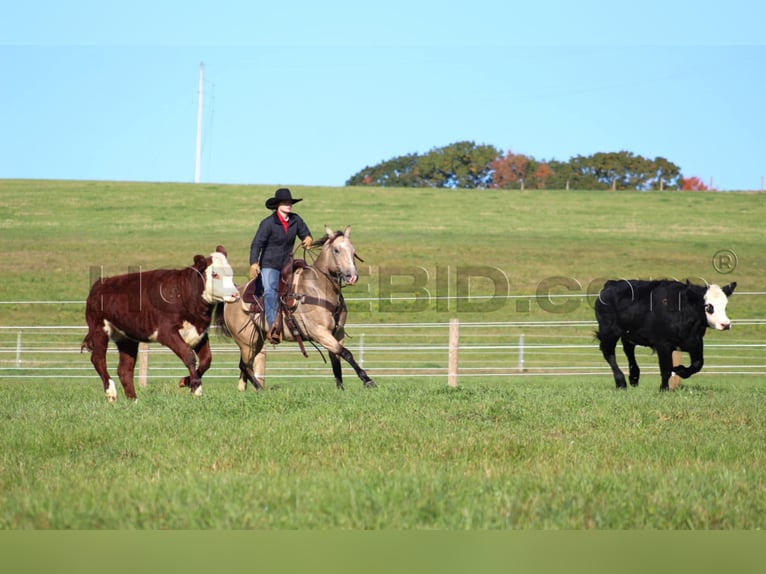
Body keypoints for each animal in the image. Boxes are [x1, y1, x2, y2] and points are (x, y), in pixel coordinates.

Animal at [81, 245, 240, 402]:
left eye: (231, 273)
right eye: (214, 274)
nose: (235, 294)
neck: (183, 294)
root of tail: (101, 283)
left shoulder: (200, 332)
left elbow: (207, 360)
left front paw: (185, 381)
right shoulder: (167, 332)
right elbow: (188, 355)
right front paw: (196, 388)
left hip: (126, 338)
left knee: (125, 369)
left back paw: (134, 400)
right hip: (99, 329)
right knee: (98, 359)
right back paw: (111, 392)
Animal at [218, 225, 376, 392]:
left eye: (353, 251)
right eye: (336, 250)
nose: (352, 277)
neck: (319, 288)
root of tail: (233, 295)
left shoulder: (337, 333)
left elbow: (336, 360)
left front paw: (340, 388)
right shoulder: (320, 332)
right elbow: (346, 353)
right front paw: (367, 380)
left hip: (257, 340)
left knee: (244, 366)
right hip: (246, 342)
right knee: (245, 365)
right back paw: (260, 389)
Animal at [592, 280, 736, 392]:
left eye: (725, 306)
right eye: (708, 307)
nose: (725, 324)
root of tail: (611, 284)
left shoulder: (696, 342)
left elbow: (697, 364)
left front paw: (679, 370)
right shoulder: (663, 345)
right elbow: (666, 369)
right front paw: (663, 389)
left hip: (628, 335)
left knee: (629, 351)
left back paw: (634, 377)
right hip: (608, 332)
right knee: (609, 353)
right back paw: (621, 382)